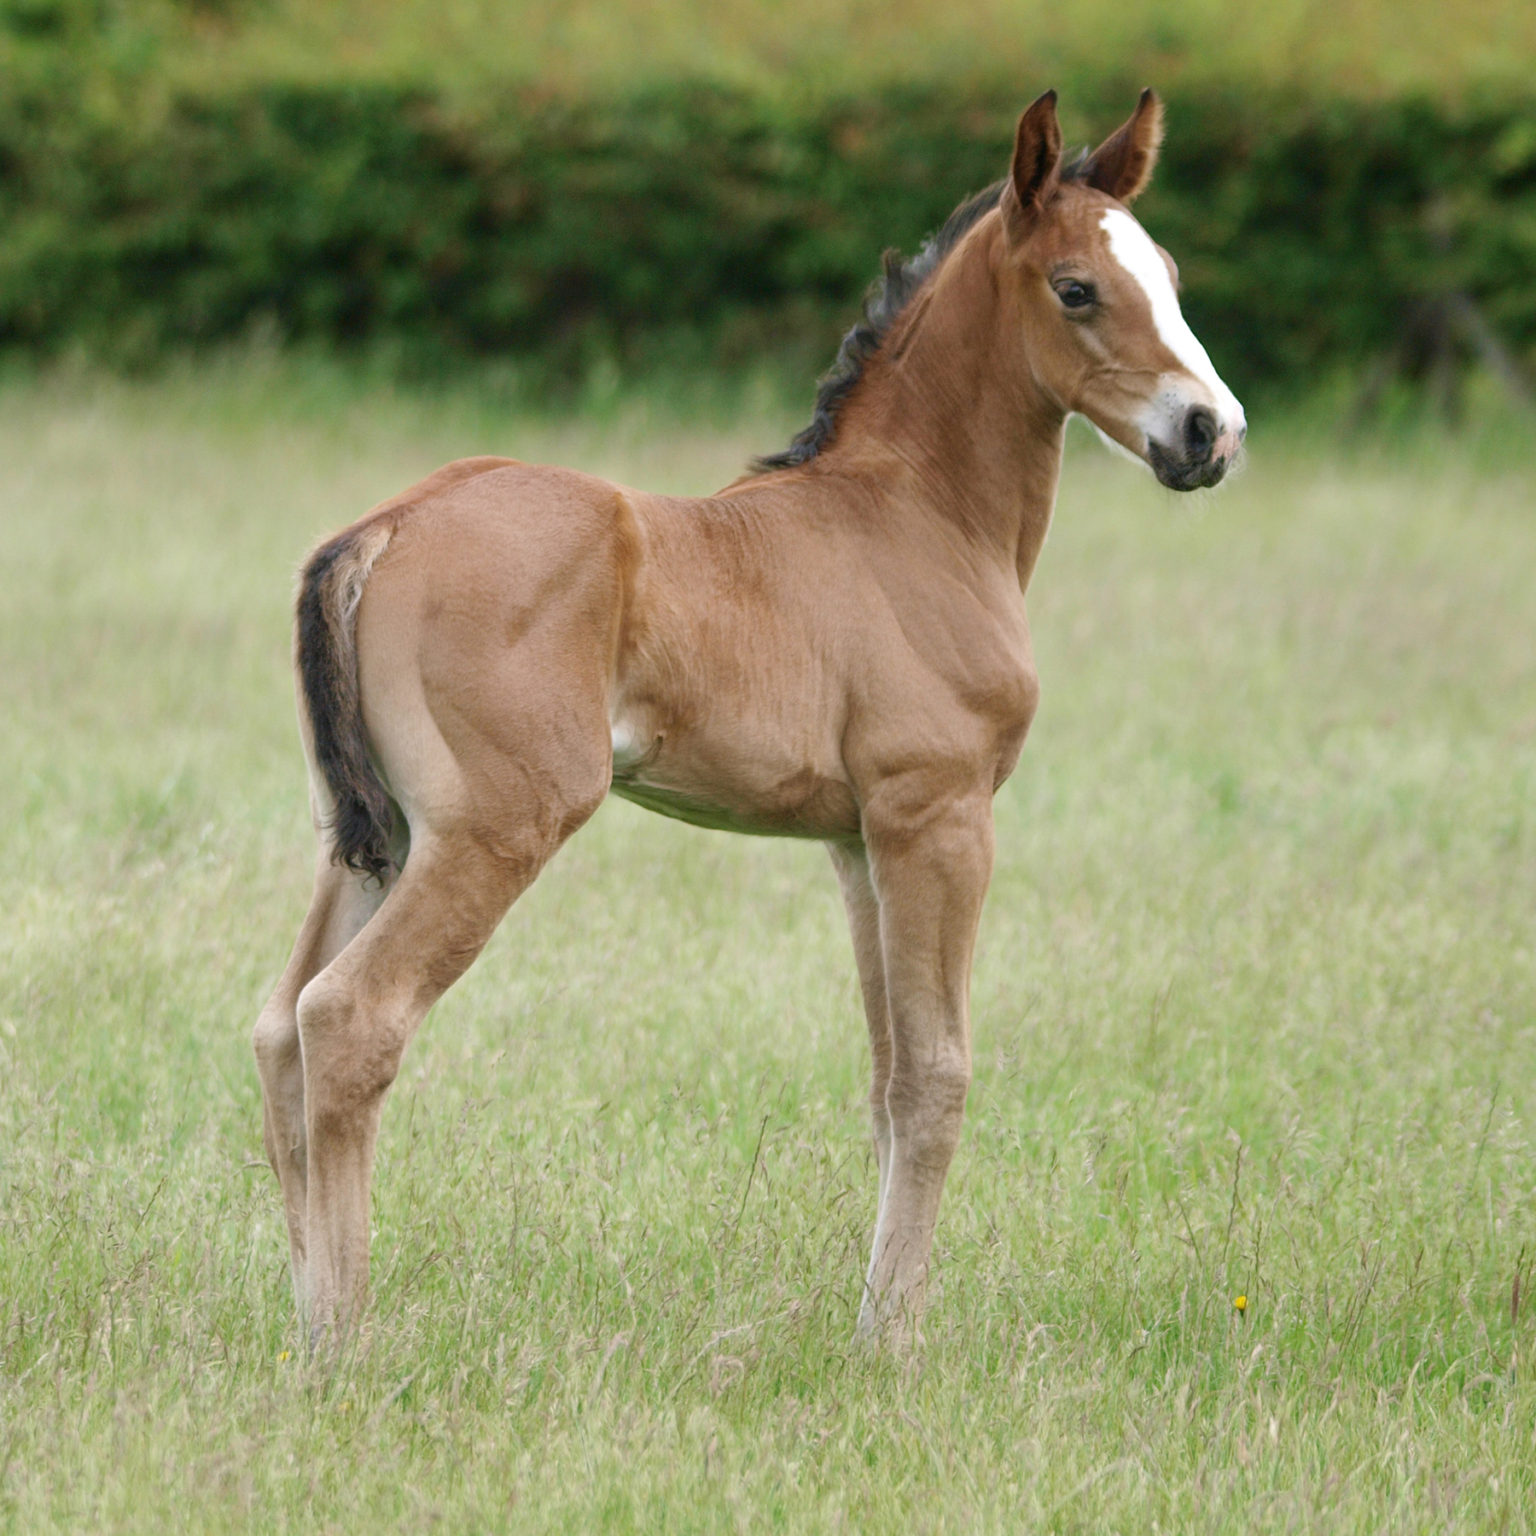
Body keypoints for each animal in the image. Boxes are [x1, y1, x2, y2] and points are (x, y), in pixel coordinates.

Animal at [252, 88, 1245, 1351]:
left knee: (281, 1024)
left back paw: (301, 1328)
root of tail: (382, 528)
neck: (919, 515)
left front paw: (874, 1322)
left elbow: (885, 1080)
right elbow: (937, 1075)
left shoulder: (856, 842)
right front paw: (894, 1345)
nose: (1212, 432)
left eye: (1166, 273)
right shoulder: (938, 817)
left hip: (375, 836)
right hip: (492, 830)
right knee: (351, 1017)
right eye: (1077, 288)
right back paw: (343, 1341)